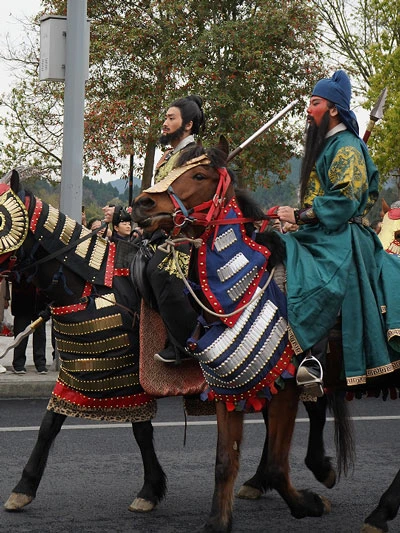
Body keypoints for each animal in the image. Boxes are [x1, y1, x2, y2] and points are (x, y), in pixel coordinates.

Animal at [0, 172, 167, 512]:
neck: (90, 286)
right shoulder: (75, 375)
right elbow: (48, 425)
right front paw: (23, 488)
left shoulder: (131, 380)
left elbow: (142, 430)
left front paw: (149, 490)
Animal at [131, 143, 354, 532]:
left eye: (199, 175)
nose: (142, 203)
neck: (240, 291)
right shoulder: (228, 389)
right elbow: (224, 460)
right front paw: (218, 521)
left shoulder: (286, 385)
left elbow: (279, 465)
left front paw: (310, 504)